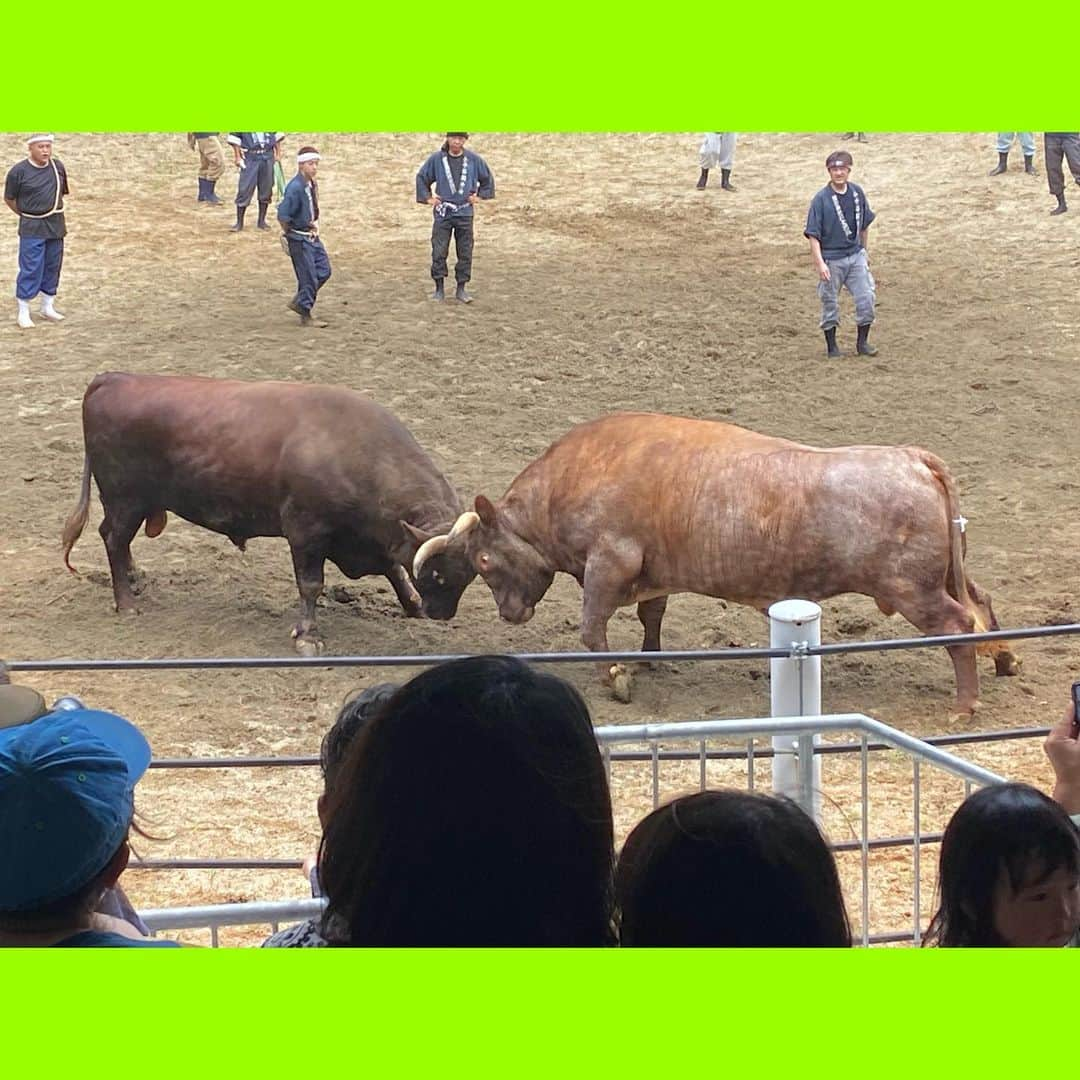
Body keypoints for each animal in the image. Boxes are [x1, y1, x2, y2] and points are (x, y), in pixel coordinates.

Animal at [62, 375, 477, 652]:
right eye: (438, 573)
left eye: (469, 574)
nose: (442, 613)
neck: (359, 452)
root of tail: (113, 378)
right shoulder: (306, 532)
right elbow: (311, 584)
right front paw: (307, 635)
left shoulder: (373, 538)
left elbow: (393, 569)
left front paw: (411, 606)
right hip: (125, 500)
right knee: (113, 539)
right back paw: (126, 603)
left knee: (116, 539)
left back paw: (135, 577)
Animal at [416, 410, 1015, 708]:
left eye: (485, 561)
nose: (508, 613)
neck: (573, 477)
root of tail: (913, 458)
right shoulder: (651, 574)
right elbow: (650, 616)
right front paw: (647, 660)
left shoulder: (609, 562)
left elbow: (592, 630)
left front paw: (615, 677)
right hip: (946, 573)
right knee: (981, 602)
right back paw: (1006, 658)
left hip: (913, 588)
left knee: (958, 624)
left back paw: (965, 704)